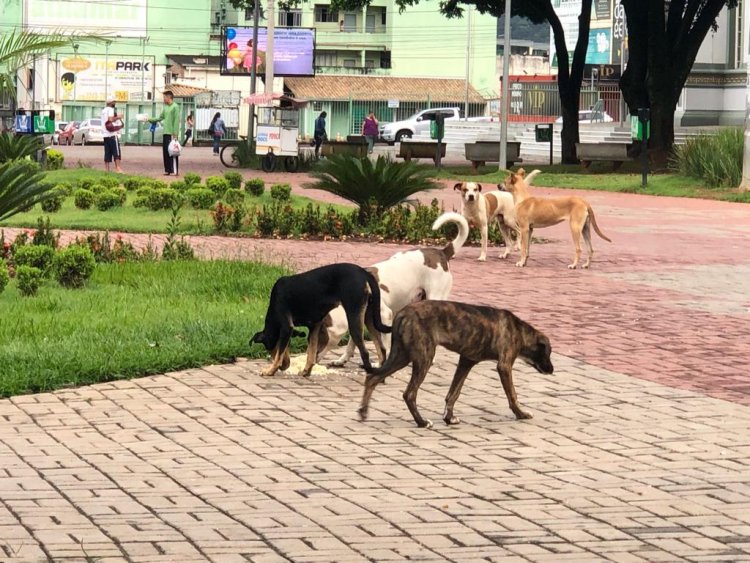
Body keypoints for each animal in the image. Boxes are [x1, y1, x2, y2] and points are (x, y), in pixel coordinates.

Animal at [254, 264, 394, 378]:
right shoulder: (314, 326)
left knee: (365, 352)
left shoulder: (286, 327)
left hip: (354, 318)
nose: (285, 366)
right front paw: (306, 371)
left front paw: (270, 371)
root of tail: (365, 273)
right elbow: (311, 353)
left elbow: (280, 355)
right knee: (381, 350)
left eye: (269, 347)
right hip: (369, 318)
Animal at [318, 212, 470, 366]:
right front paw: (342, 359)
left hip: (435, 298)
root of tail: (442, 253)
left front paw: (381, 363)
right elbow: (353, 342)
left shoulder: (385, 315)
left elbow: (383, 345)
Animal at [358, 302, 552, 430]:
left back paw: (363, 412)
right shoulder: (504, 365)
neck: (520, 330)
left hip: (402, 356)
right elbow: (512, 395)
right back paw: (421, 422)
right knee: (409, 393)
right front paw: (521, 414)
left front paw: (449, 418)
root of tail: (402, 314)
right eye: (549, 353)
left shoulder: (466, 361)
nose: (552, 370)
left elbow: (453, 393)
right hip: (424, 357)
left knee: (373, 377)